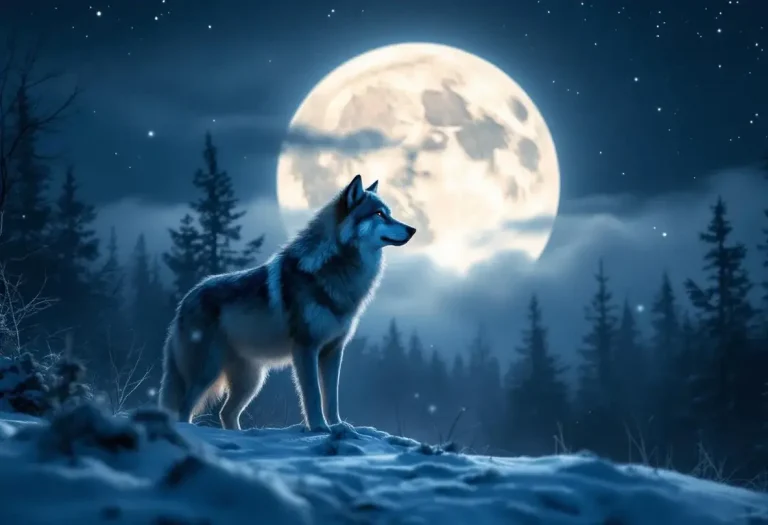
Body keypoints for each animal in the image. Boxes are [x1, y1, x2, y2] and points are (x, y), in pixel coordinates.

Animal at [158, 174, 416, 432]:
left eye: (389, 213)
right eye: (379, 214)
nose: (412, 229)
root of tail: (186, 299)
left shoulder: (333, 351)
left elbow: (331, 398)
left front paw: (338, 426)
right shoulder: (306, 348)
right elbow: (312, 395)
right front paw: (320, 428)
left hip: (252, 381)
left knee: (226, 413)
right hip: (208, 372)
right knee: (185, 408)